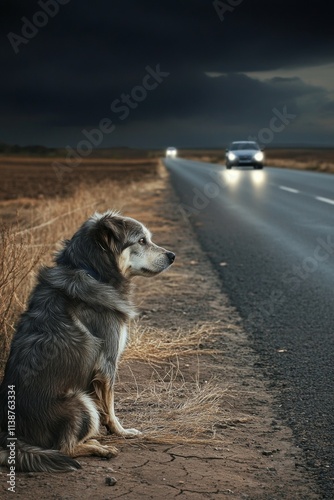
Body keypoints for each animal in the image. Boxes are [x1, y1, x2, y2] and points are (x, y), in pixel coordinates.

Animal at [0, 211, 176, 472]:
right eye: (142, 241)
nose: (172, 256)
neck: (91, 270)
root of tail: (8, 435)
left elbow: (106, 406)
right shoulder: (107, 364)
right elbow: (110, 407)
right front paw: (121, 431)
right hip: (80, 402)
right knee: (65, 448)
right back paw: (100, 448)